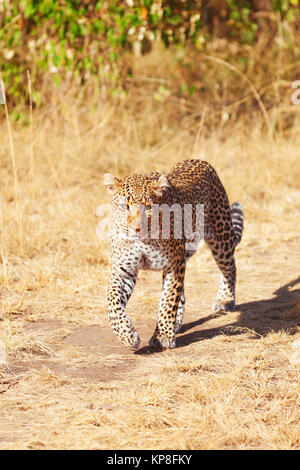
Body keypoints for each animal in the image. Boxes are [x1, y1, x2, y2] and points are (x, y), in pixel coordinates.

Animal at [103, 160, 244, 350]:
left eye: (148, 207)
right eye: (126, 206)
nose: (136, 228)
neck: (144, 240)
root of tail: (200, 161)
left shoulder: (174, 265)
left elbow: (168, 300)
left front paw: (162, 335)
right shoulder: (123, 269)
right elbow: (112, 302)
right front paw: (127, 335)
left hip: (220, 237)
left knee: (230, 267)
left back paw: (225, 299)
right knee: (182, 294)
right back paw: (176, 323)